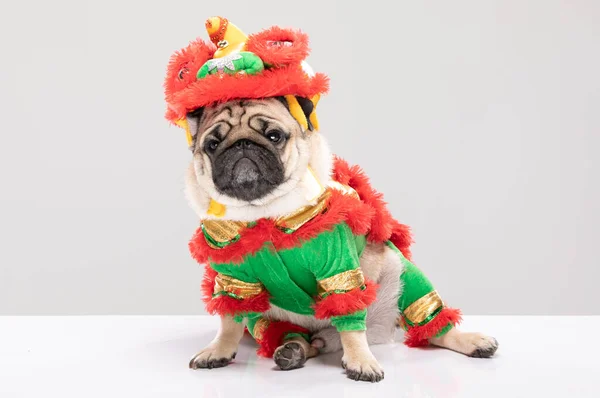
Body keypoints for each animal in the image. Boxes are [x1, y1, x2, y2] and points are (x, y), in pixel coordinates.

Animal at [182, 98, 496, 380]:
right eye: (212, 144)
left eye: (274, 136)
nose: (242, 145)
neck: (264, 214)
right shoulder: (235, 281)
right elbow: (228, 322)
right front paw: (218, 350)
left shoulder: (338, 269)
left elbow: (350, 322)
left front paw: (360, 360)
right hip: (263, 317)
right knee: (298, 337)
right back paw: (294, 350)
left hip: (404, 274)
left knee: (428, 324)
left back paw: (471, 341)